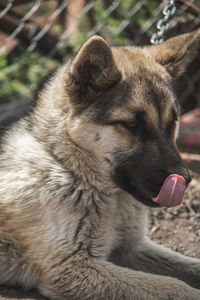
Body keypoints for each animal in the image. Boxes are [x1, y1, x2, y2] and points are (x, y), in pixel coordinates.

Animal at [0, 28, 199, 300]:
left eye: (173, 122)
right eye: (131, 125)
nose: (186, 180)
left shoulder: (131, 248)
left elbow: (191, 266)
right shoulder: (71, 268)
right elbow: (175, 286)